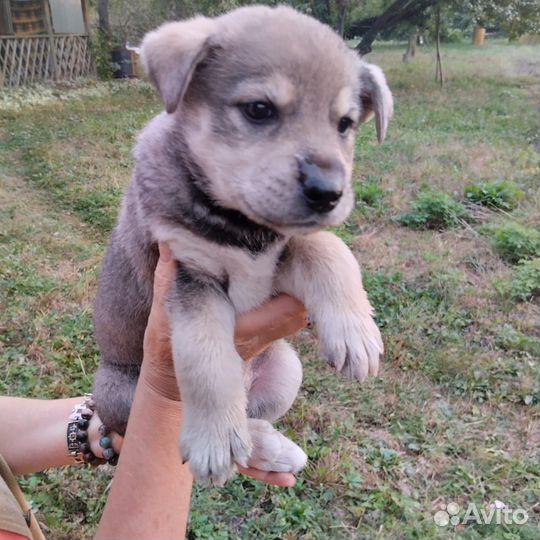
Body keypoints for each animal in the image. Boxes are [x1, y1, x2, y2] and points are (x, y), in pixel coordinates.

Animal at [93, 5, 392, 486]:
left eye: (345, 125)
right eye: (259, 109)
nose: (328, 192)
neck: (244, 229)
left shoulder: (277, 261)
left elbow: (329, 249)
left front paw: (356, 334)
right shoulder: (189, 274)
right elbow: (207, 358)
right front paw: (214, 438)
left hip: (286, 370)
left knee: (252, 416)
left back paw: (273, 449)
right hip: (122, 392)